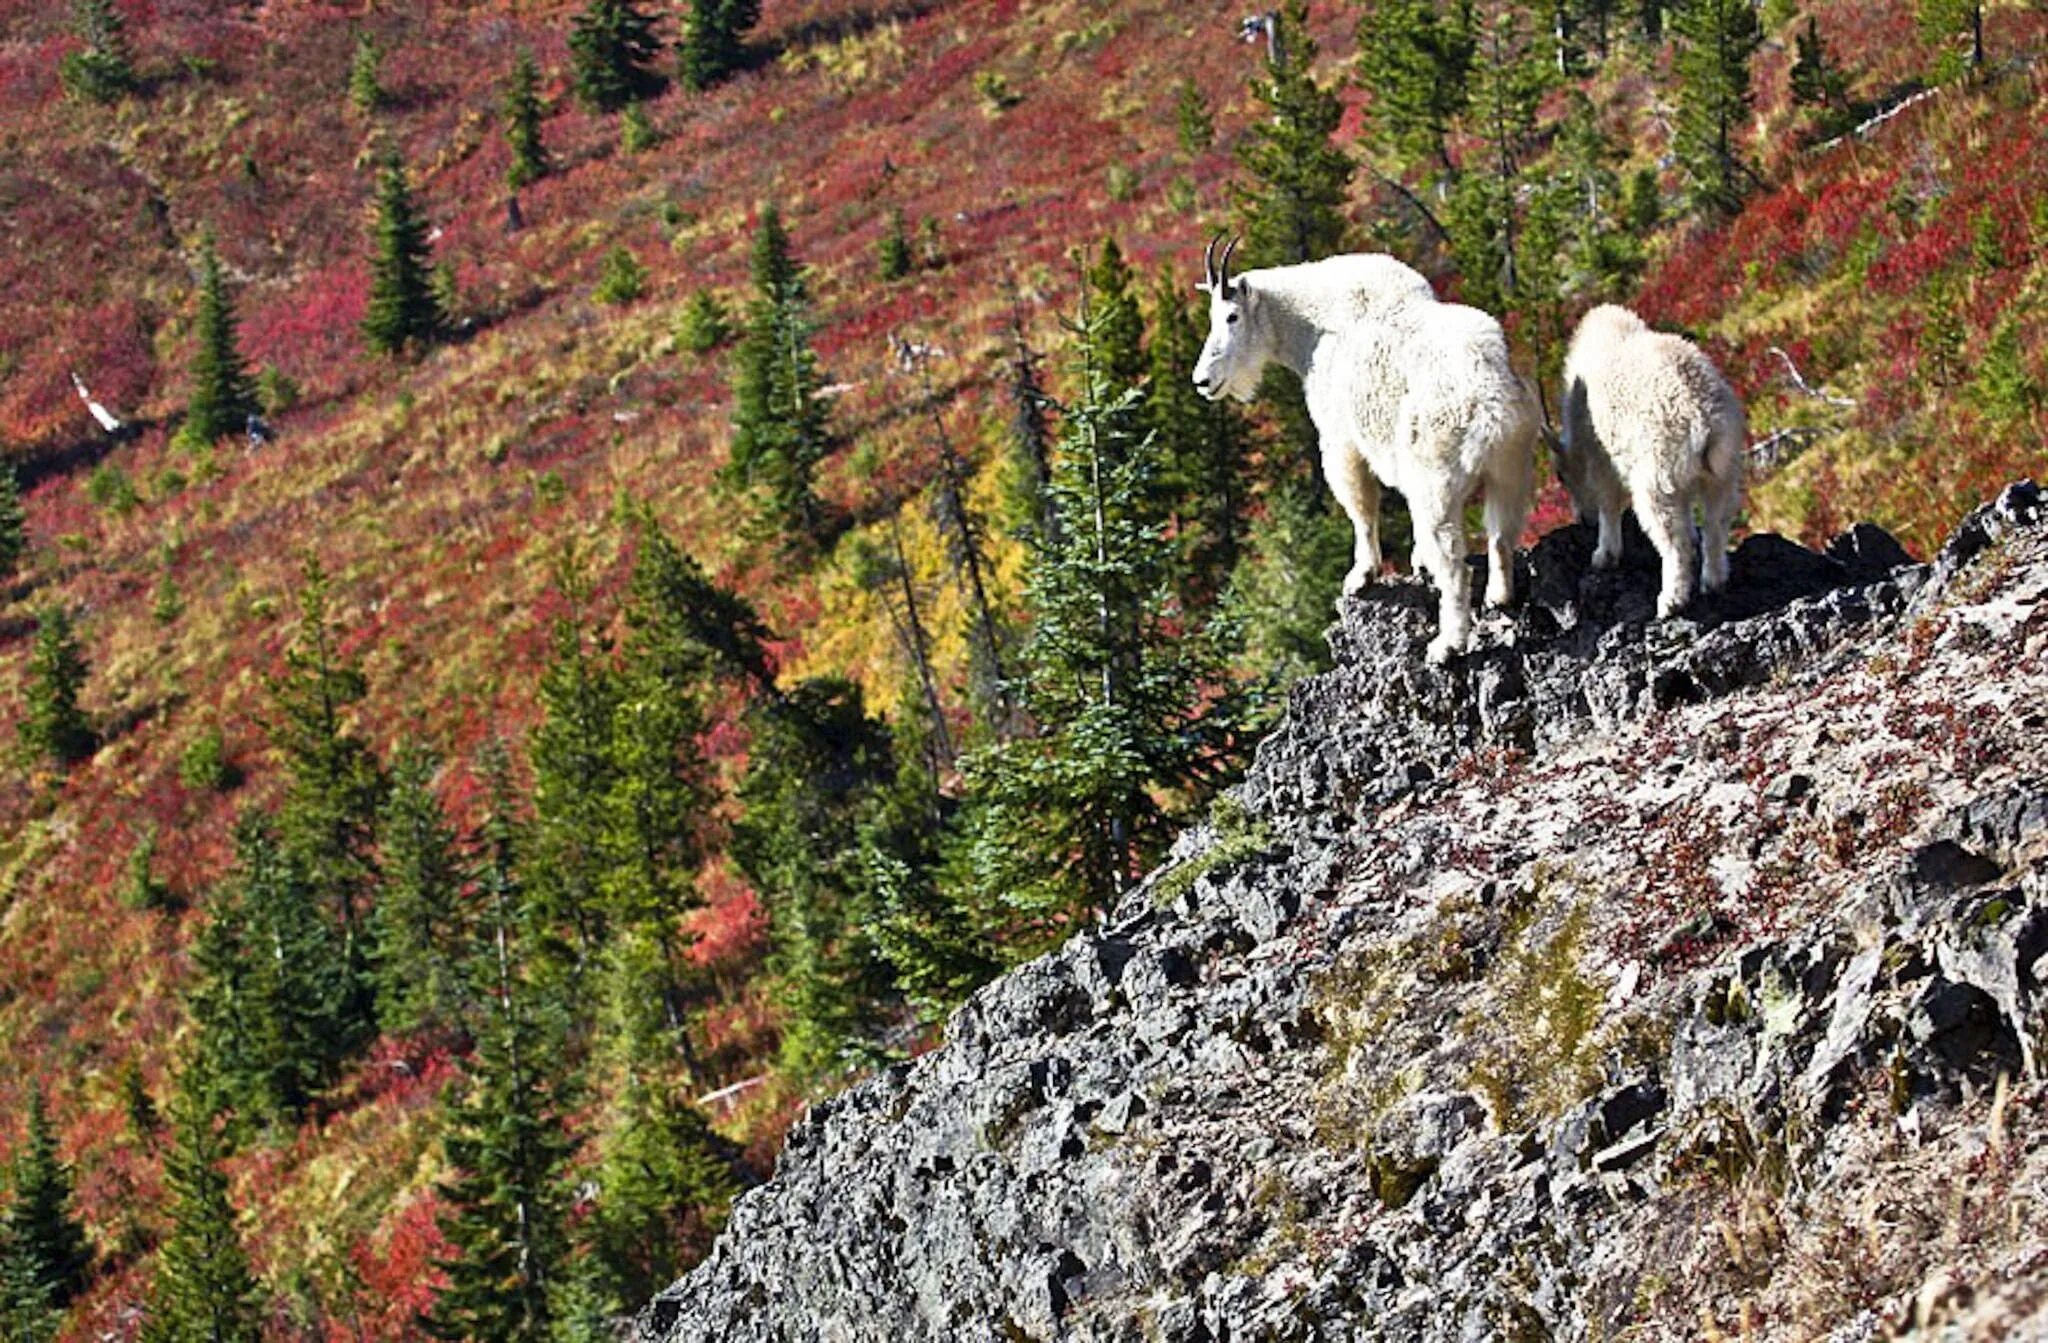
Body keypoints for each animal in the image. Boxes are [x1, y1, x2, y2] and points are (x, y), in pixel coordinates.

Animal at [1187, 239, 1540, 667]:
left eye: (1232, 316)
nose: (1203, 380)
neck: (1312, 330)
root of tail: (1492, 402)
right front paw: (1416, 561)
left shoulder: (1340, 438)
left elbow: (1361, 508)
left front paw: (1361, 575)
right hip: (1513, 461)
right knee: (1502, 532)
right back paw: (1499, 596)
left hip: (1436, 473)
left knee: (1455, 563)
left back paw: (1446, 644)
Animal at [1564, 305, 1744, 618]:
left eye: (1562, 477)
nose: (1582, 519)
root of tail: (1704, 420)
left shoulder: (1600, 455)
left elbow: (1608, 503)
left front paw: (1604, 555)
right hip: (1723, 471)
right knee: (1716, 523)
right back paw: (1714, 580)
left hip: (1658, 477)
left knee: (1674, 542)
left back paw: (1671, 600)